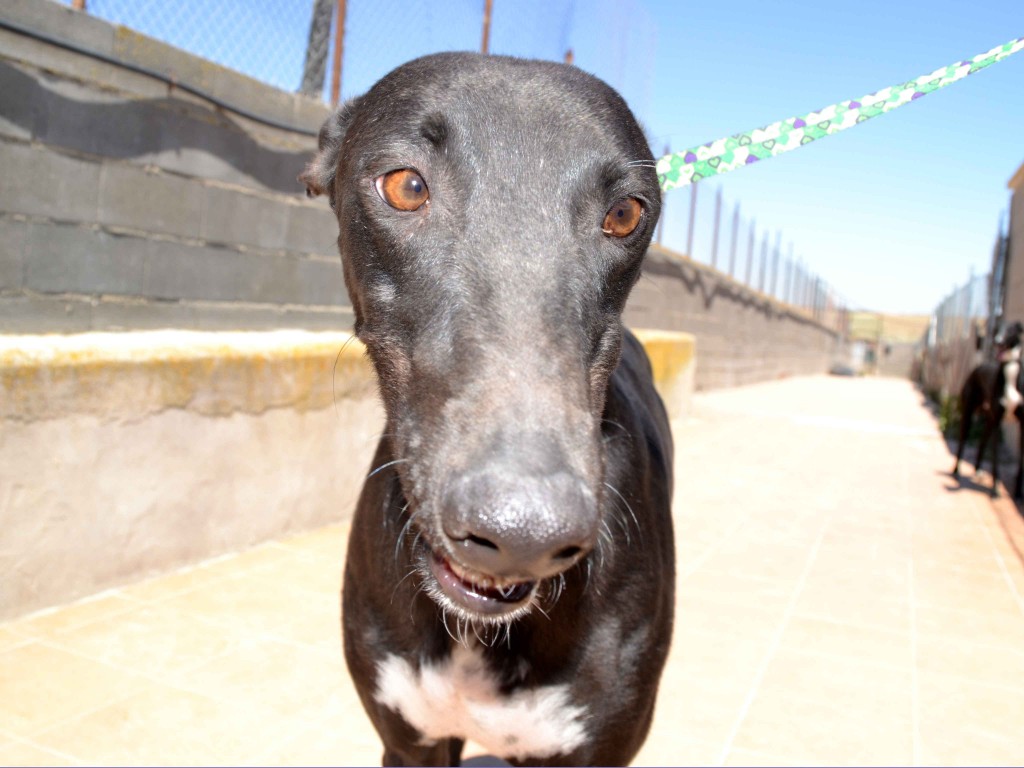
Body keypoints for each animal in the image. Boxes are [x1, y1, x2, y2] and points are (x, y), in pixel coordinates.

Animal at [950, 319, 1024, 499]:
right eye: (997, 329)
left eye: (1011, 329)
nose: (997, 341)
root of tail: (978, 366)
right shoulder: (998, 422)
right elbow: (996, 457)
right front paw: (996, 487)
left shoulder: (1021, 423)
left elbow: (1021, 460)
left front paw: (1018, 492)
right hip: (969, 413)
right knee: (963, 441)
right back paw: (956, 470)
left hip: (989, 419)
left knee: (982, 441)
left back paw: (977, 469)